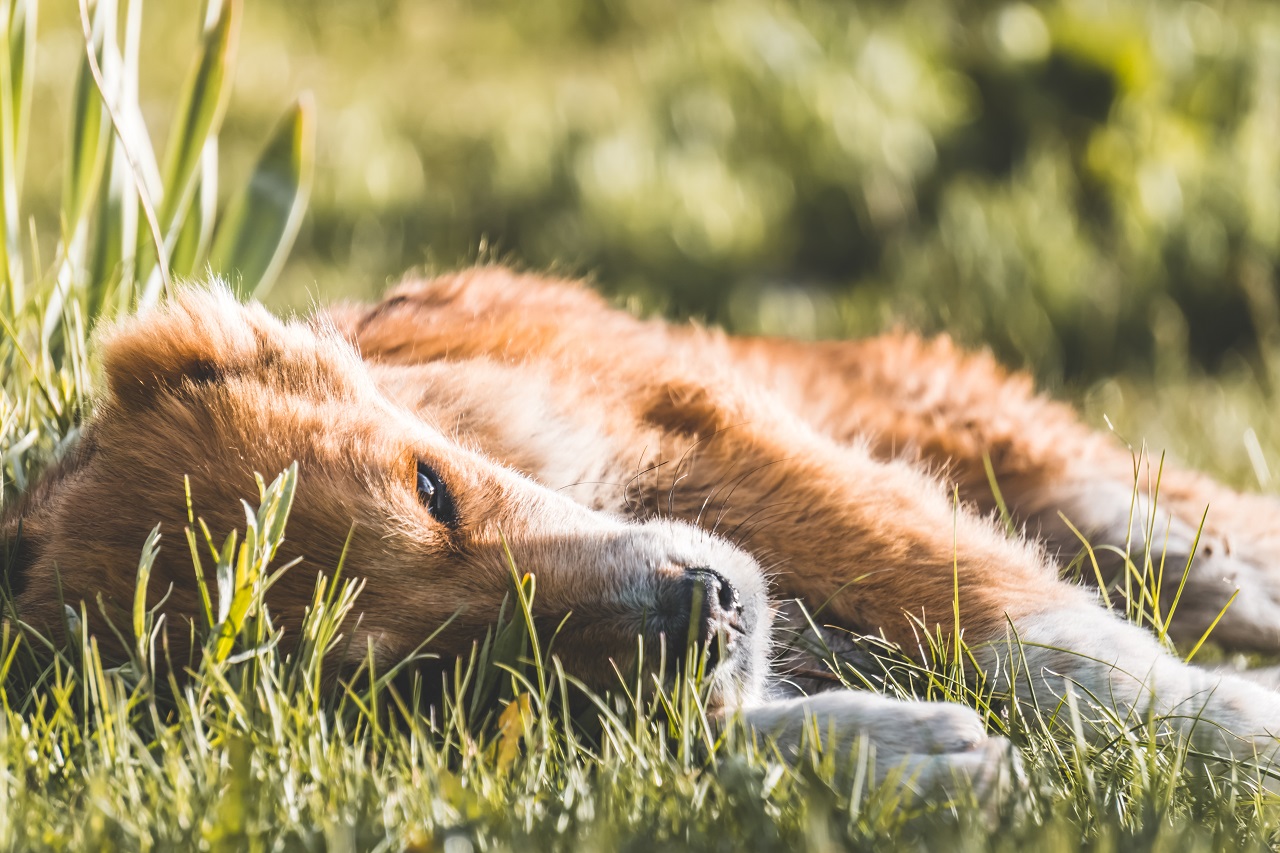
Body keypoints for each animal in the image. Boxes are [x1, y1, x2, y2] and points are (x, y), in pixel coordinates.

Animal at [2, 267, 1280, 788]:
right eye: (425, 679)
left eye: (432, 489)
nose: (702, 609)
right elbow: (678, 737)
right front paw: (894, 753)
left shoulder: (726, 446)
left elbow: (1053, 643)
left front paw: (1242, 739)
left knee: (1192, 556)